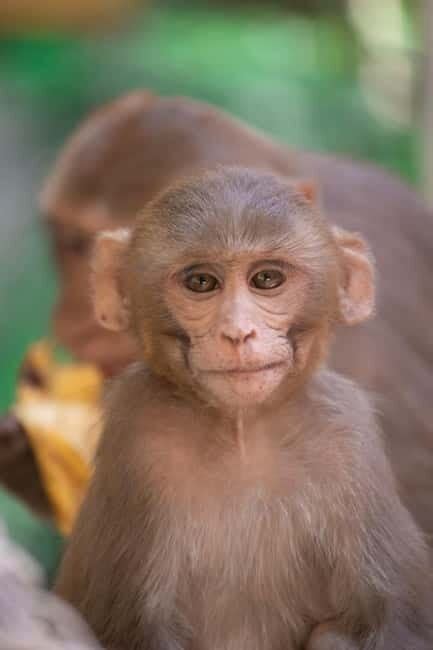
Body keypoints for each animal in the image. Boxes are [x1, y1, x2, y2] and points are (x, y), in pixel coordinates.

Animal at [55, 167, 433, 650]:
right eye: (201, 282)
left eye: (266, 279)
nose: (238, 333)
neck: (242, 434)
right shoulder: (138, 439)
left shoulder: (347, 438)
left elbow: (396, 623)